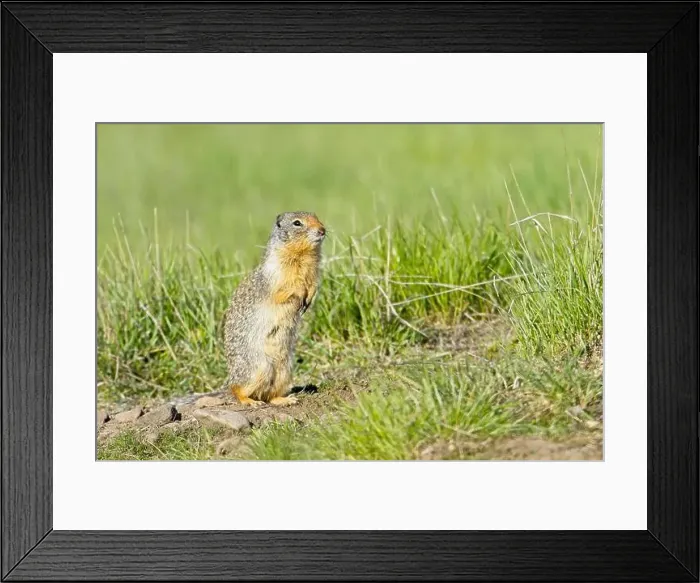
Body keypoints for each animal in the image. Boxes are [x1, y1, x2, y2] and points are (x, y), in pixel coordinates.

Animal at [221, 211, 326, 407]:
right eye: (297, 223)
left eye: (317, 217)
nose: (322, 230)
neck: (303, 256)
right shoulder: (278, 275)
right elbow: (286, 288)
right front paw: (301, 294)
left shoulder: (314, 273)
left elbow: (313, 285)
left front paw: (309, 299)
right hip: (258, 368)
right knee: (236, 389)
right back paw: (249, 401)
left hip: (285, 370)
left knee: (268, 395)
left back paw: (286, 399)